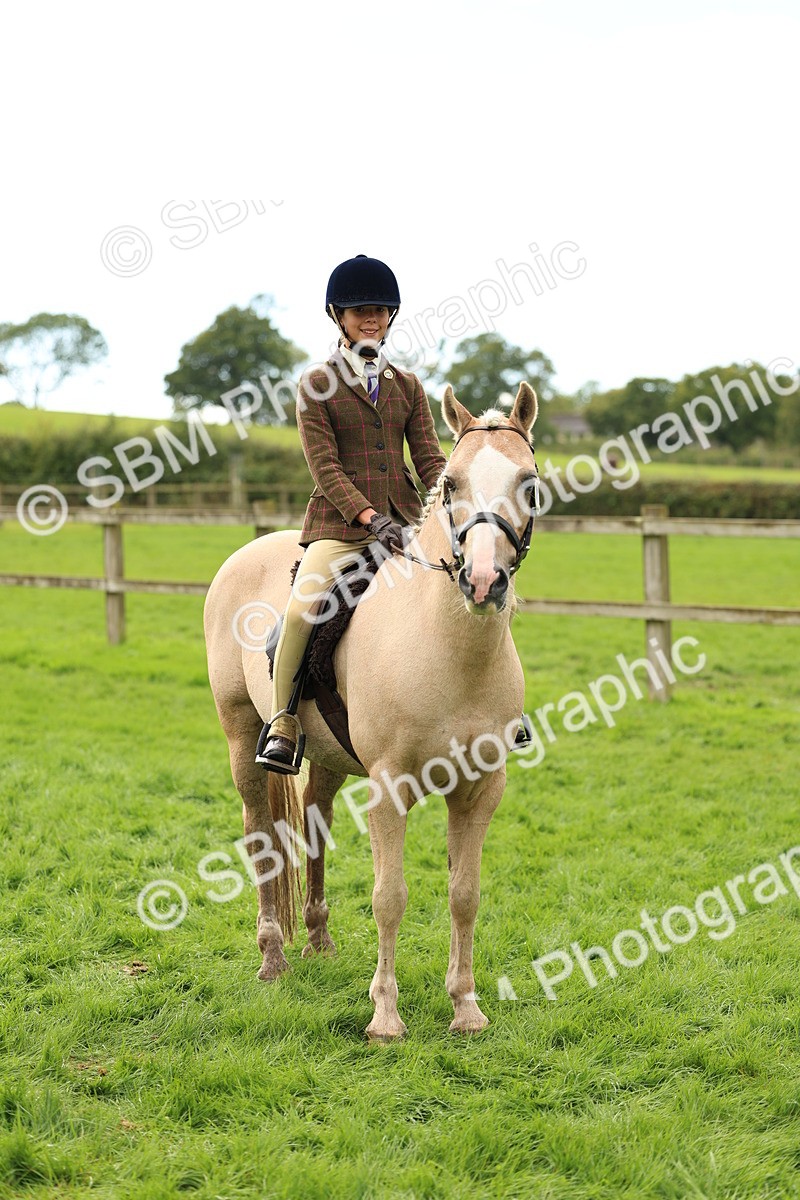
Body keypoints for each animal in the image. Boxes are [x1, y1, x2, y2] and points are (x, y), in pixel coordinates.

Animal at [203, 382, 538, 1039]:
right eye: (452, 483)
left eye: (529, 482)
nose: (483, 582)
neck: (448, 647)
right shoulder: (389, 786)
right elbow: (390, 897)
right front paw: (385, 1015)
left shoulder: (482, 787)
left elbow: (465, 894)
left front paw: (466, 1007)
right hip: (241, 738)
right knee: (260, 834)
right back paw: (273, 958)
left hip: (329, 758)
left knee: (313, 823)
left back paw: (319, 943)